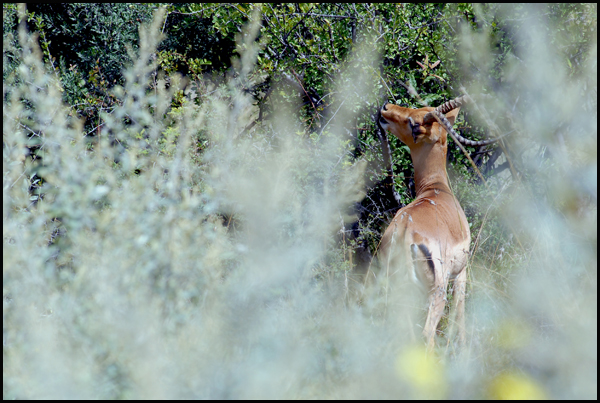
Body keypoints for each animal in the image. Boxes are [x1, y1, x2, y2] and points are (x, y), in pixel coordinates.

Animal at [380, 95, 502, 350]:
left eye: (415, 121)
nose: (385, 107)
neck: (436, 188)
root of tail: (405, 231)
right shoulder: (461, 272)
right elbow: (461, 314)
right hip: (436, 290)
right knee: (427, 333)